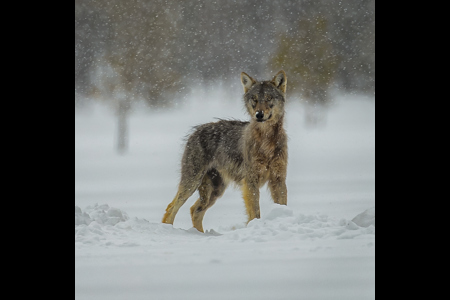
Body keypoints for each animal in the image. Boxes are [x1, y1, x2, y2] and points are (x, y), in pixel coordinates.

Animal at [162, 70, 288, 232]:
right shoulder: (250, 181)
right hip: (192, 183)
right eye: (254, 99)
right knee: (171, 208)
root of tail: (195, 131)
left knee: (195, 210)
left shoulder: (278, 179)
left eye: (268, 98)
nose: (259, 114)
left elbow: (282, 205)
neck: (267, 141)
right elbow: (255, 213)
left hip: (216, 190)